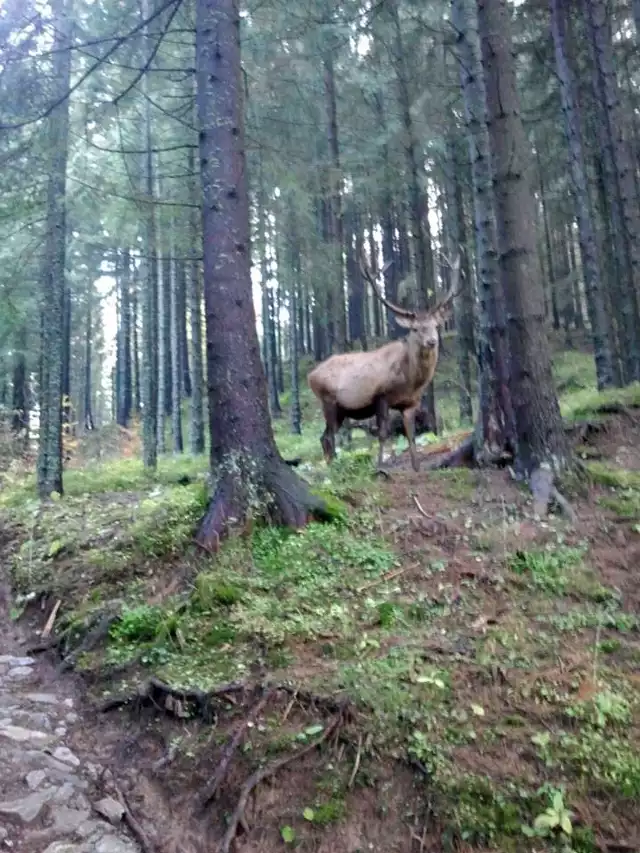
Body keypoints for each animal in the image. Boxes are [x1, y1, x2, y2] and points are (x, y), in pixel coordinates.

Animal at [306, 250, 460, 472]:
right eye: (415, 328)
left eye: (435, 325)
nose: (432, 341)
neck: (409, 381)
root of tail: (310, 375)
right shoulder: (381, 396)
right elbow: (383, 434)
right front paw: (380, 467)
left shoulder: (410, 403)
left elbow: (411, 435)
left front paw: (416, 468)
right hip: (328, 401)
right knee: (327, 437)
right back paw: (332, 468)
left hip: (341, 410)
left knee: (324, 436)